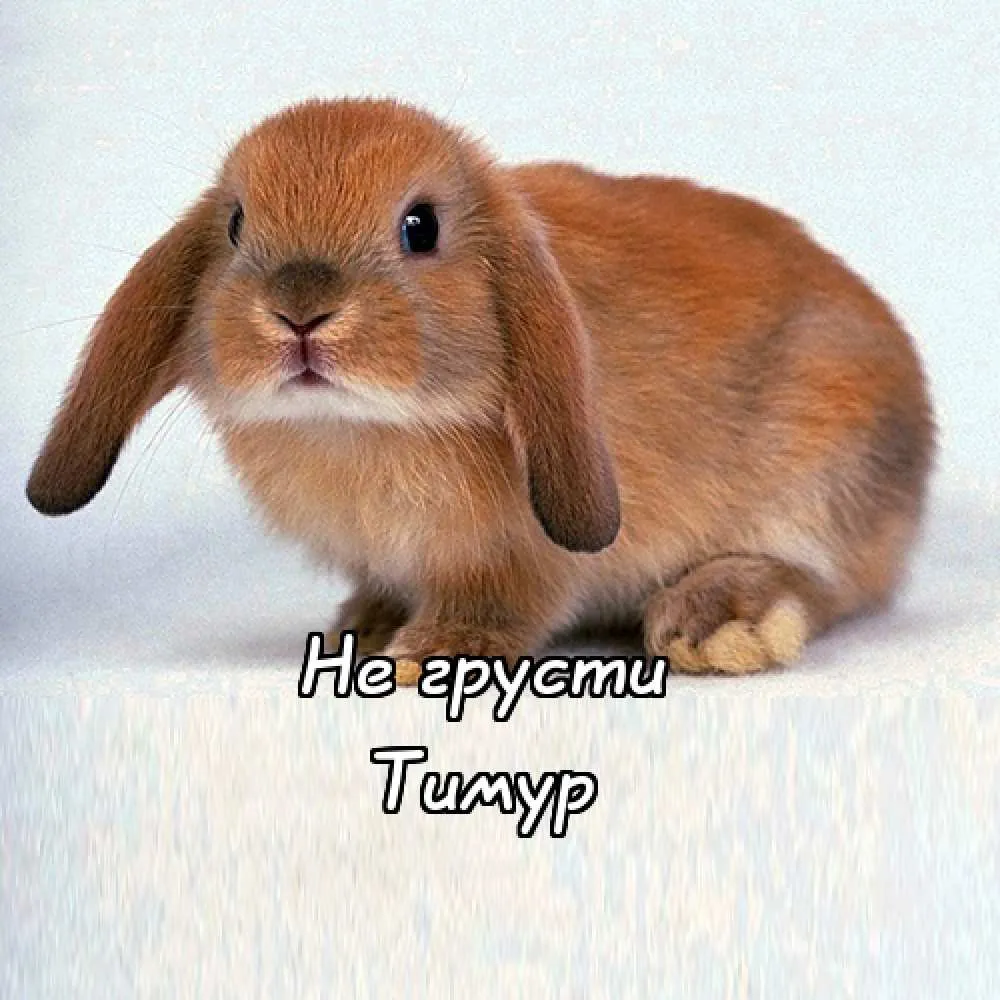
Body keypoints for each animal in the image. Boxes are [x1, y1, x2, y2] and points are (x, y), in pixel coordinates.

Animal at [26, 97, 934, 680]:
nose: (300, 311)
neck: (360, 427)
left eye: (420, 226)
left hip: (824, 469)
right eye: (237, 224)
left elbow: (506, 600)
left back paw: (718, 623)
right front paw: (367, 628)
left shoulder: (518, 556)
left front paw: (433, 651)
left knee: (825, 583)